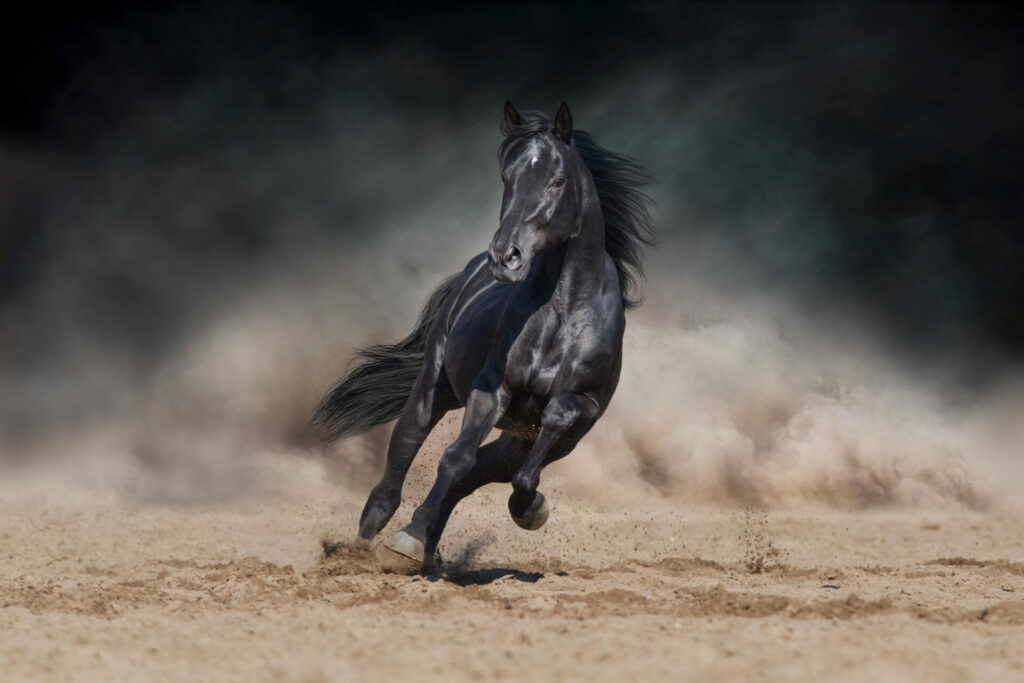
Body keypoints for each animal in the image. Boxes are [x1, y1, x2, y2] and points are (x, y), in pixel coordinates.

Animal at [313, 101, 655, 569]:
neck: (563, 313)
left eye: (557, 180)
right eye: (507, 178)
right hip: (434, 389)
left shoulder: (584, 408)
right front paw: (406, 541)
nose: (506, 256)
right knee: (403, 459)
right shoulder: (493, 390)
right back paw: (366, 549)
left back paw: (431, 547)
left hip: (528, 440)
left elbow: (544, 434)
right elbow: (456, 458)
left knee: (486, 471)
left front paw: (531, 509)